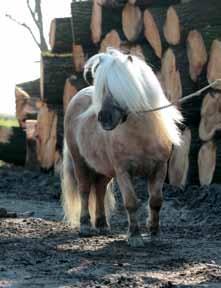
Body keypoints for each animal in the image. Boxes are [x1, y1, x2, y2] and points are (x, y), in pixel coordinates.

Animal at [61, 48, 182, 246]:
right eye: (102, 89)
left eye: (121, 87)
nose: (104, 118)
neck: (141, 135)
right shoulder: (123, 171)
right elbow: (131, 202)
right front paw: (135, 237)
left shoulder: (159, 168)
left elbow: (156, 200)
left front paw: (155, 234)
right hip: (80, 162)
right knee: (85, 190)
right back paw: (85, 226)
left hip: (104, 169)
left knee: (100, 189)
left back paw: (102, 225)